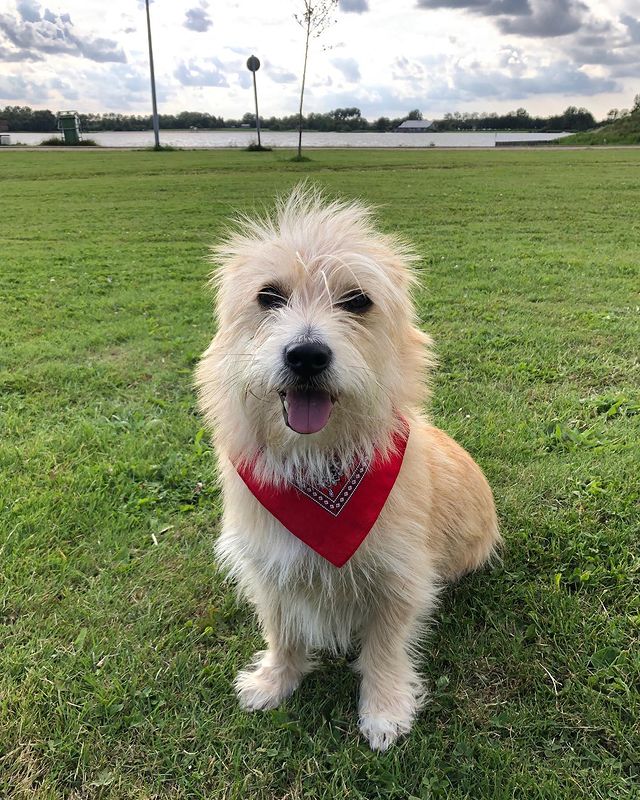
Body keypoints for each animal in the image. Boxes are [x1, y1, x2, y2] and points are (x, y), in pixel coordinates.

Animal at [195, 186, 500, 752]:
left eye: (357, 300)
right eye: (268, 297)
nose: (306, 355)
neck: (320, 465)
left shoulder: (399, 576)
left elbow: (384, 648)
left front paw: (384, 709)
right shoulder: (270, 567)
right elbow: (282, 630)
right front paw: (275, 680)